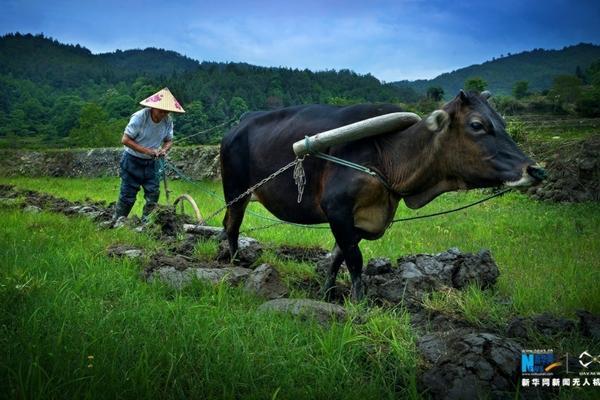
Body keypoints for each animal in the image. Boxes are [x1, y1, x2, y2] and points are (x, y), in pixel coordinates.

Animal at [219, 90, 544, 300]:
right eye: (477, 125)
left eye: (503, 123)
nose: (536, 169)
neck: (387, 157)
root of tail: (239, 124)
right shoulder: (337, 209)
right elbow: (354, 259)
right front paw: (359, 303)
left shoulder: (361, 220)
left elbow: (337, 257)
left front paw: (327, 294)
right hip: (236, 192)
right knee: (232, 226)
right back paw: (235, 264)